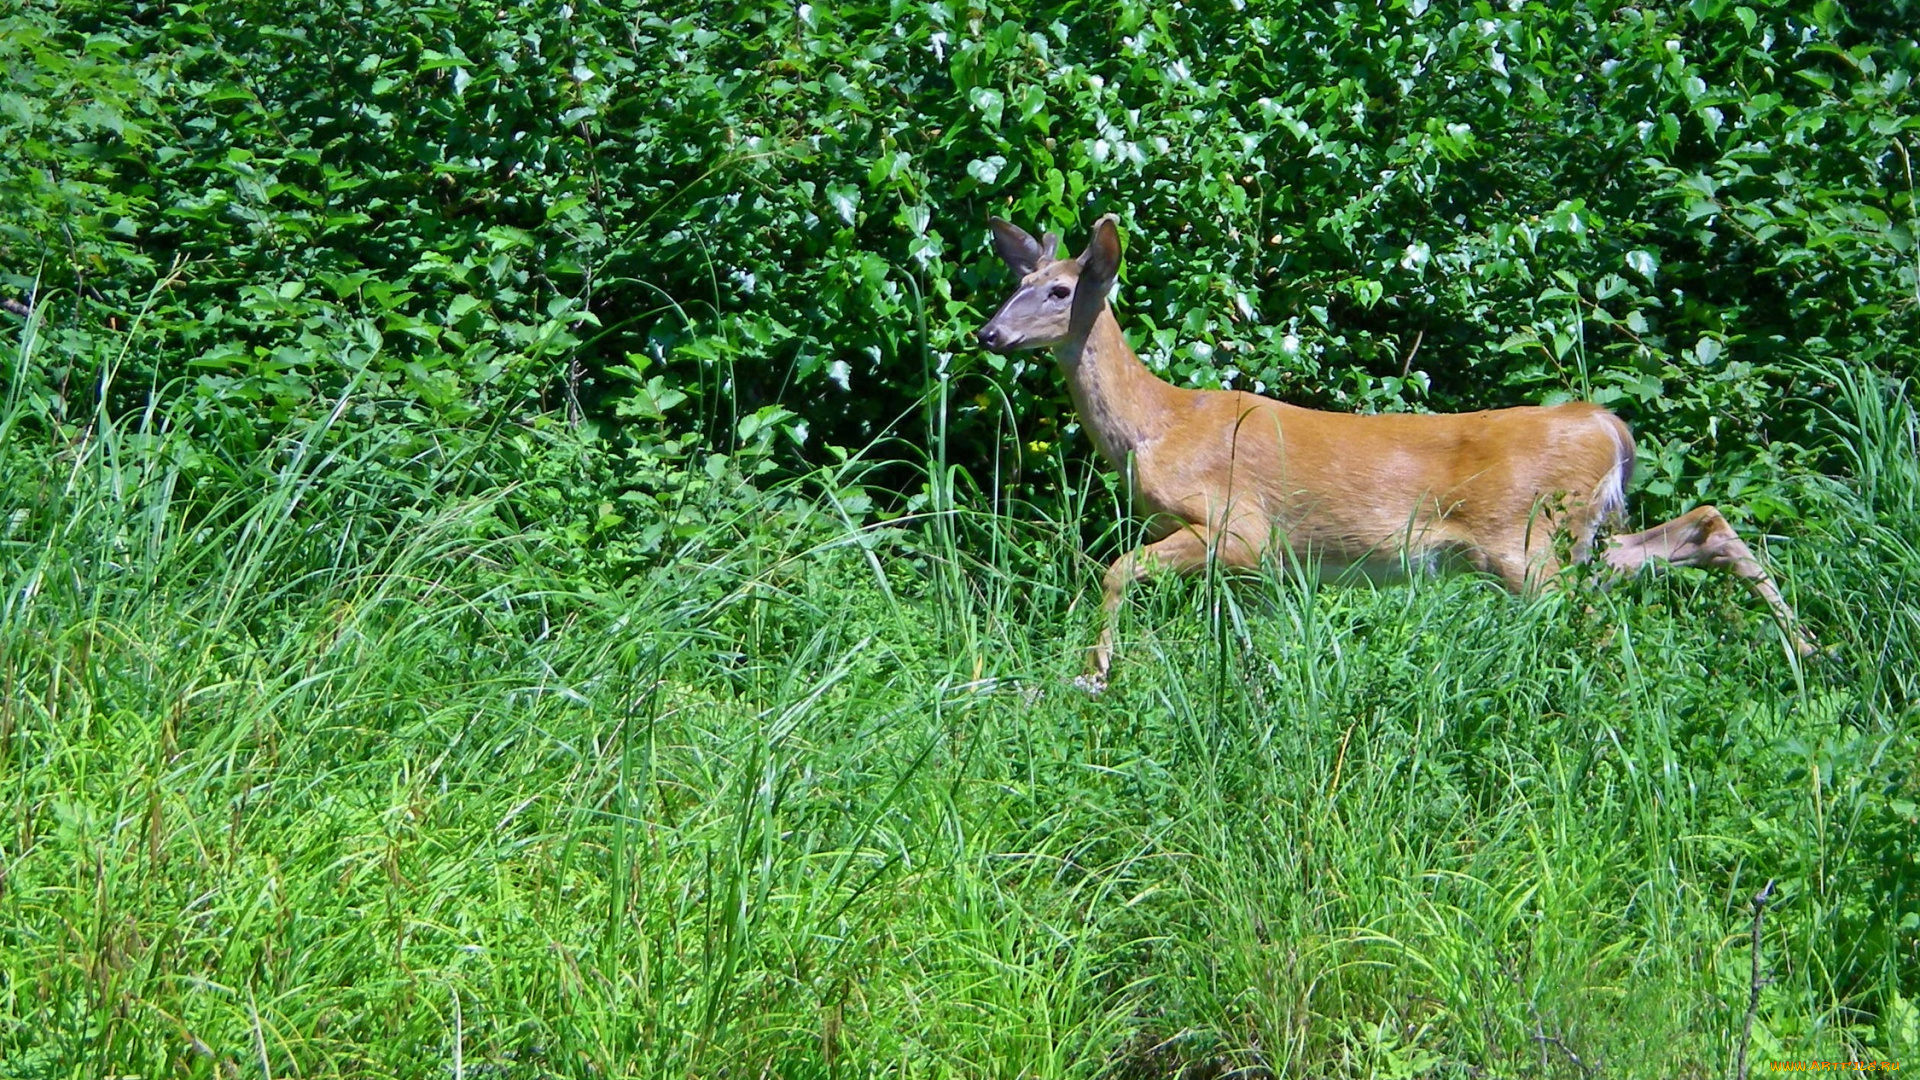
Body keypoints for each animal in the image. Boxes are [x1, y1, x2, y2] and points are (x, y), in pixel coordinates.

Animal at [975, 210, 1812, 687]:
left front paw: (1093, 675)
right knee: (1701, 527)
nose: (987, 332)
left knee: (1604, 621)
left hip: (1529, 544)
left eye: (1059, 290)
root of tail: (1608, 424)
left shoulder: (1239, 528)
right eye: (1016, 281)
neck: (1161, 425)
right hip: (1577, 538)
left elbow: (1116, 570)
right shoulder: (1261, 569)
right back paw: (1807, 650)